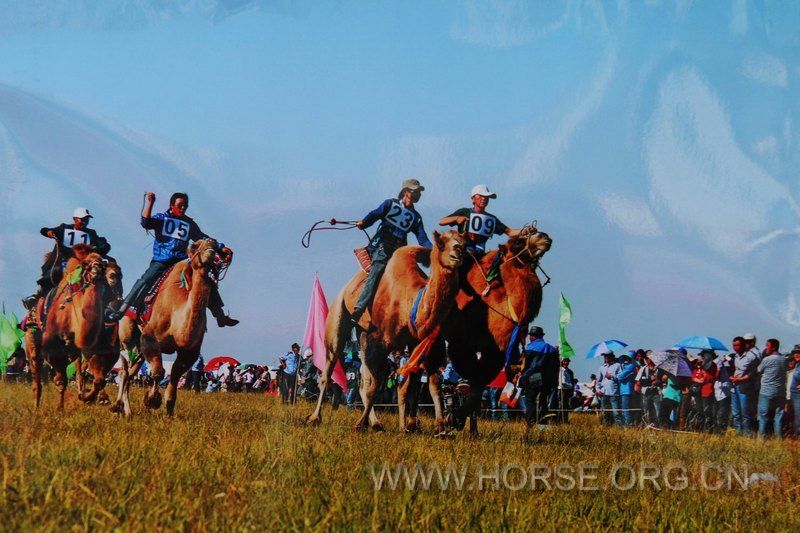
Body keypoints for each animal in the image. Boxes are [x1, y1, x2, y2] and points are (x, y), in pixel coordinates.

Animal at [24, 243, 108, 410]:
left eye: (102, 264)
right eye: (86, 264)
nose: (96, 270)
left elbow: (98, 379)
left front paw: (87, 397)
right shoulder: (52, 349)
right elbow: (61, 380)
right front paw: (60, 409)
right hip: (32, 344)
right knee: (37, 379)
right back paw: (36, 409)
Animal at [112, 239, 222, 418]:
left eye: (216, 245)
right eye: (195, 246)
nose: (210, 247)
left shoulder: (189, 351)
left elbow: (174, 377)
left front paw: (169, 412)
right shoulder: (150, 338)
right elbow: (159, 372)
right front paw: (151, 400)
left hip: (139, 350)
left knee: (129, 372)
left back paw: (125, 410)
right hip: (127, 338)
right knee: (125, 370)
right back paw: (117, 407)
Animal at [308, 228, 468, 432]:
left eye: (464, 243)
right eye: (441, 243)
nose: (458, 253)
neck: (411, 302)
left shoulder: (421, 343)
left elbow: (427, 384)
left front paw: (436, 427)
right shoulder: (380, 341)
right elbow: (377, 385)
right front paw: (360, 424)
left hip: (363, 333)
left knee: (364, 381)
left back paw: (376, 423)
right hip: (338, 317)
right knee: (329, 370)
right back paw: (315, 418)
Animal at [404, 227, 552, 434]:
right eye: (518, 243)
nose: (543, 237)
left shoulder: (495, 351)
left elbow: (478, 384)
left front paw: (462, 423)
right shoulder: (461, 344)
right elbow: (472, 380)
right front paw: (452, 419)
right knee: (422, 376)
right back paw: (419, 424)